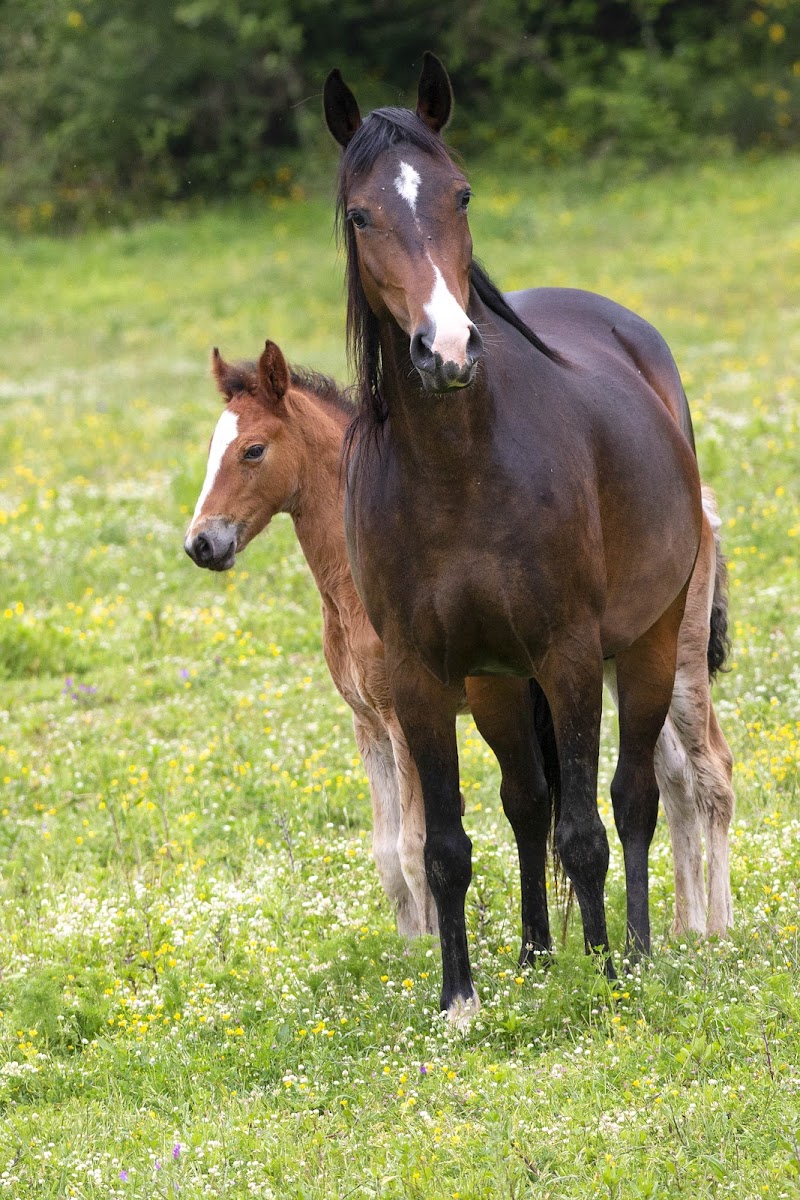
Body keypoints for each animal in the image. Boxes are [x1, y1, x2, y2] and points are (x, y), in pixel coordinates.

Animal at [326, 49, 719, 1022]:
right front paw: (459, 997)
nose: (447, 350)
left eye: (461, 194)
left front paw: (608, 975)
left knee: (631, 798)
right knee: (526, 801)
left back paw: (634, 949)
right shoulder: (423, 675)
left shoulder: (569, 653)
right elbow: (450, 844)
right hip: (499, 684)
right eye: (360, 213)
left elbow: (588, 829)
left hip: (649, 645)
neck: (459, 469)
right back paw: (540, 955)